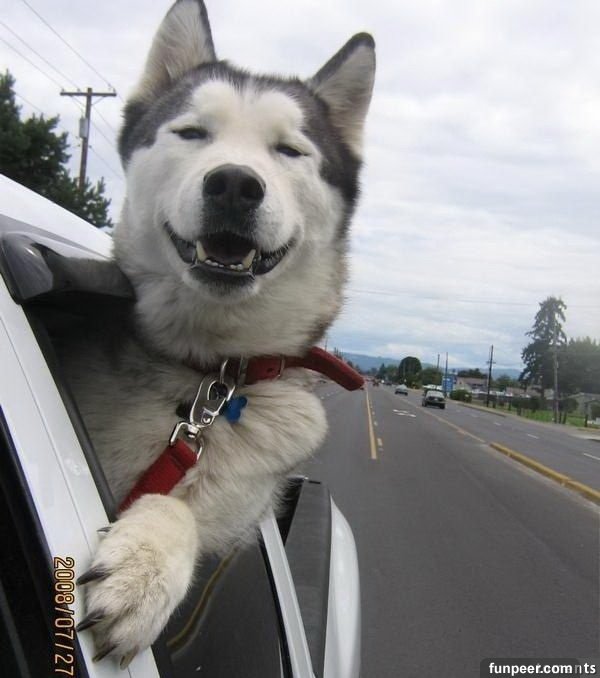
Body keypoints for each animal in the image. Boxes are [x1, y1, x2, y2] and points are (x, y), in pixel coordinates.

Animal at [70, 0, 375, 665]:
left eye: (289, 150)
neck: (210, 374)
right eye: (191, 133)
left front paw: (145, 567)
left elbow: (182, 510)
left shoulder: (237, 512)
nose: (234, 183)